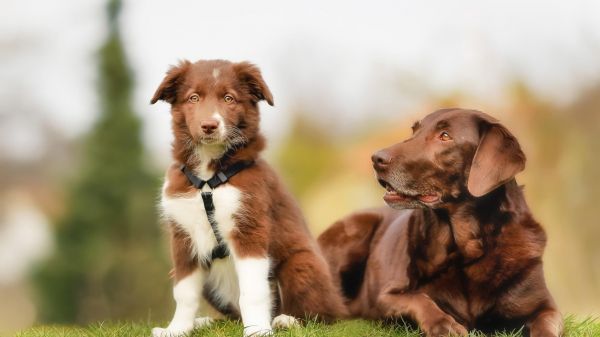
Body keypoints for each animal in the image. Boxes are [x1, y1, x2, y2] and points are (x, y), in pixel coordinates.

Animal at [151, 60, 346, 336]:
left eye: (229, 98)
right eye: (194, 98)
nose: (209, 125)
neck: (209, 177)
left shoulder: (249, 227)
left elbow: (253, 291)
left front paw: (257, 329)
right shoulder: (183, 236)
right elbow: (184, 291)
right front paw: (177, 329)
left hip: (302, 263)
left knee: (324, 316)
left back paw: (286, 321)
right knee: (231, 316)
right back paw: (205, 322)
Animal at [318, 108, 564, 336]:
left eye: (445, 136)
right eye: (414, 131)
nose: (376, 158)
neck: (465, 252)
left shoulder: (547, 308)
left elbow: (545, 326)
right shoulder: (385, 296)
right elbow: (419, 297)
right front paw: (443, 323)